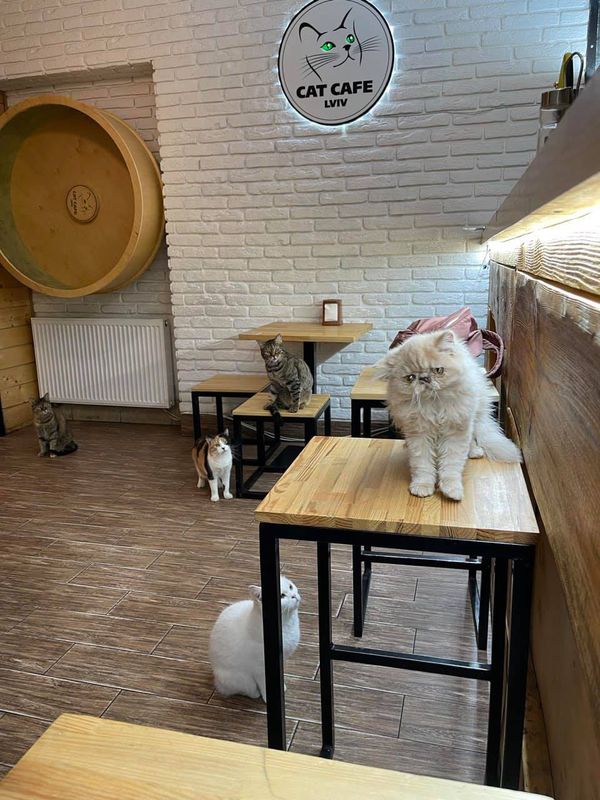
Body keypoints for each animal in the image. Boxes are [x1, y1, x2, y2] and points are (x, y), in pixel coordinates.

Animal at [379, 330, 521, 502]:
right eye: (410, 378)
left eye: (438, 370)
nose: (424, 379)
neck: (435, 406)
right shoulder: (419, 435)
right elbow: (422, 466)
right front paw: (422, 487)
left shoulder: (456, 432)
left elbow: (451, 466)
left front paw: (452, 490)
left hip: (473, 419)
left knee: (472, 439)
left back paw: (474, 452)